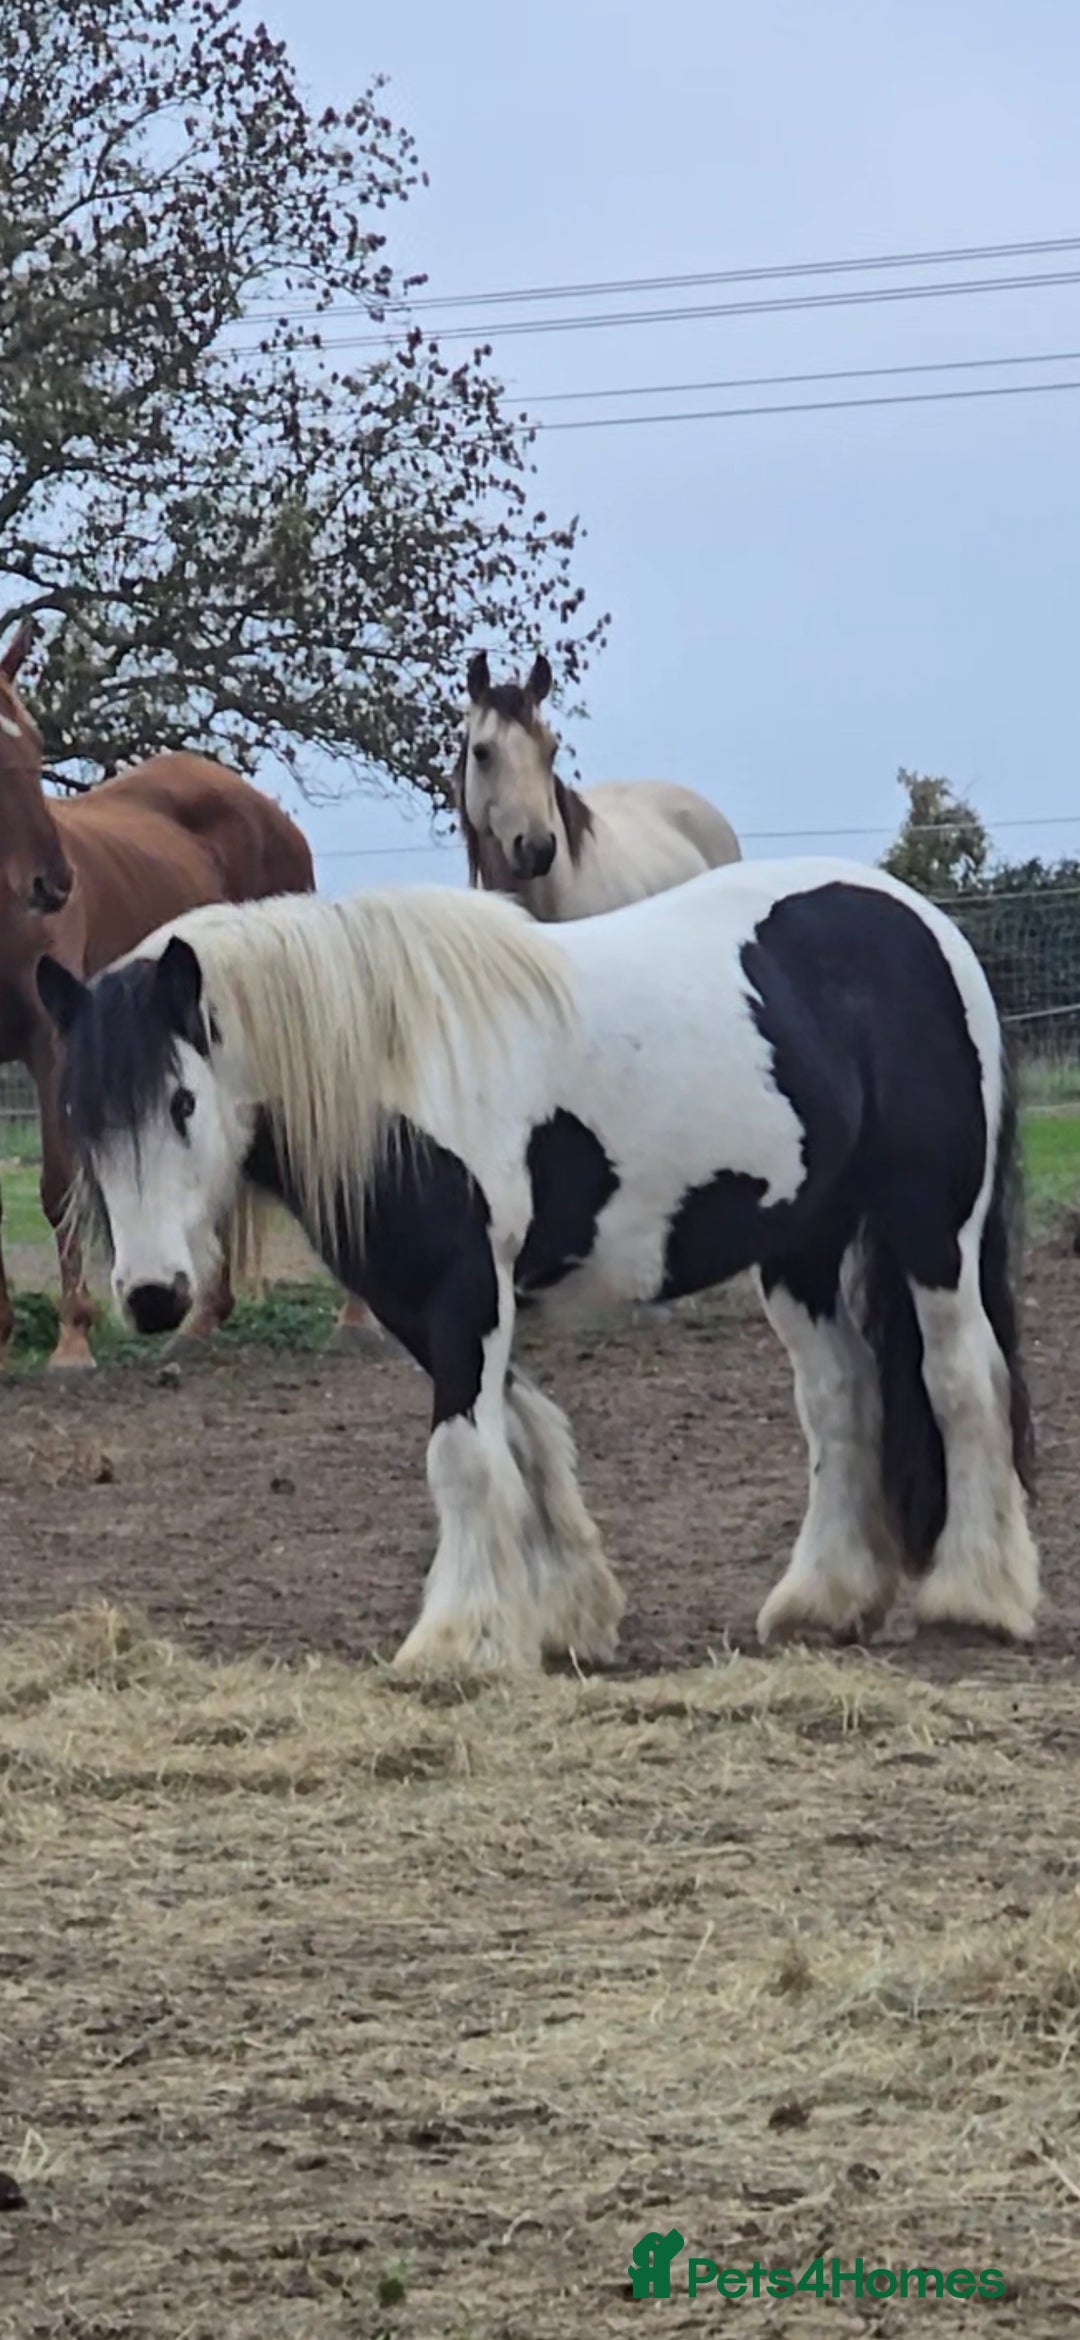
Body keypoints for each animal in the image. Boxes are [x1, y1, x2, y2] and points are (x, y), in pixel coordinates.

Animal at [0, 618, 316, 1369]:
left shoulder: (51, 1047)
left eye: (34, 744)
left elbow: (61, 1190)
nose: (53, 884)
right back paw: (203, 1320)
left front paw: (73, 1339)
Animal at [36, 855, 1039, 1671]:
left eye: (181, 1101)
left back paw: (978, 1596)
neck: (396, 1071)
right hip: (801, 1244)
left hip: (931, 1224)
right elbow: (517, 1434)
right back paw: (823, 1602)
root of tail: (923, 921)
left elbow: (462, 1456)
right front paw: (566, 1616)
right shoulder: (420, 1301)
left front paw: (458, 1641)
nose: (153, 1296)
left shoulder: (465, 1287)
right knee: (840, 1397)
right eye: (82, 1112)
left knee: (962, 1380)